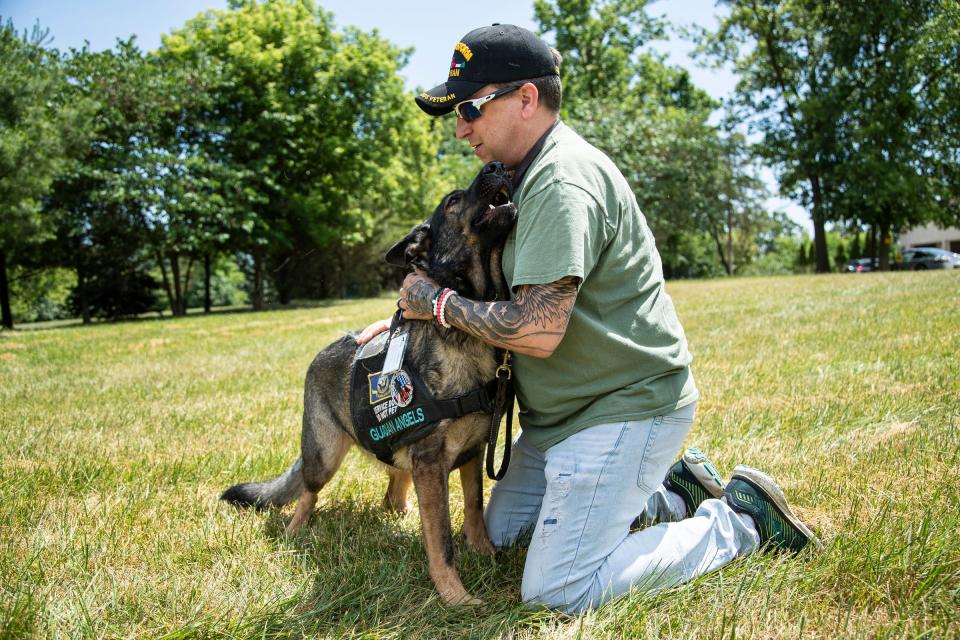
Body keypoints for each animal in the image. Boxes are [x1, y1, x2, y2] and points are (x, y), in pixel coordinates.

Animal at [221, 161, 516, 604]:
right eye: (452, 201)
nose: (497, 166)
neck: (465, 328)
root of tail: (325, 349)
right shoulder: (431, 462)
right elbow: (442, 540)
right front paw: (455, 597)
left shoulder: (471, 453)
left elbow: (474, 510)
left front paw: (484, 555)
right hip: (324, 453)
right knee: (308, 493)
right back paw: (295, 531)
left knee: (392, 486)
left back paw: (400, 513)